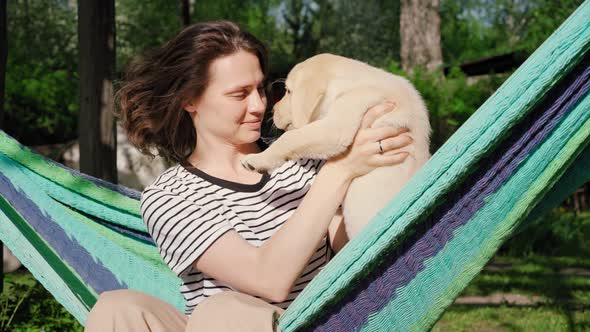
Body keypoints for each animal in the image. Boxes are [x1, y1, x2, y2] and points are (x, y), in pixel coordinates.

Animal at [239, 52, 430, 239]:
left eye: (288, 91)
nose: (272, 110)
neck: (352, 82)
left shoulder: (339, 122)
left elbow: (290, 137)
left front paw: (256, 160)